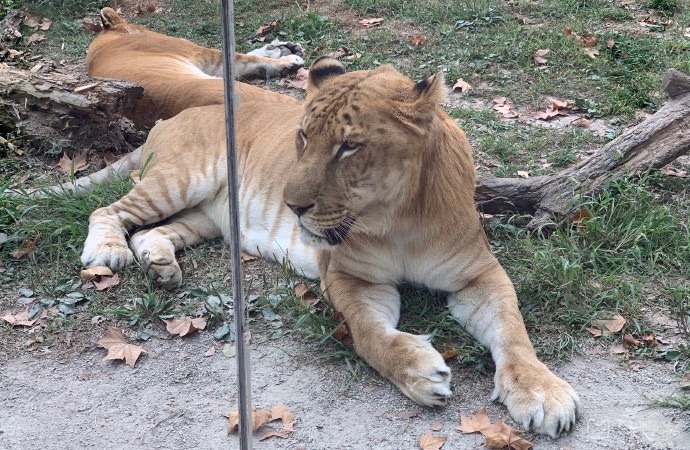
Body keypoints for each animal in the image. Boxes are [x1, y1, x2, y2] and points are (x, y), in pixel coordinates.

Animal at [64, 56, 576, 436]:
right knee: (108, 211)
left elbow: (512, 330)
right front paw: (419, 372)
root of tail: (173, 116)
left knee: (150, 232)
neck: (399, 221)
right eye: (304, 135)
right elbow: (370, 337)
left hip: (207, 217)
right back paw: (108, 253)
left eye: (349, 146)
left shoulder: (477, 274)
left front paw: (541, 393)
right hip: (179, 179)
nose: (291, 206)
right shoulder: (348, 276)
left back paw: (160, 267)